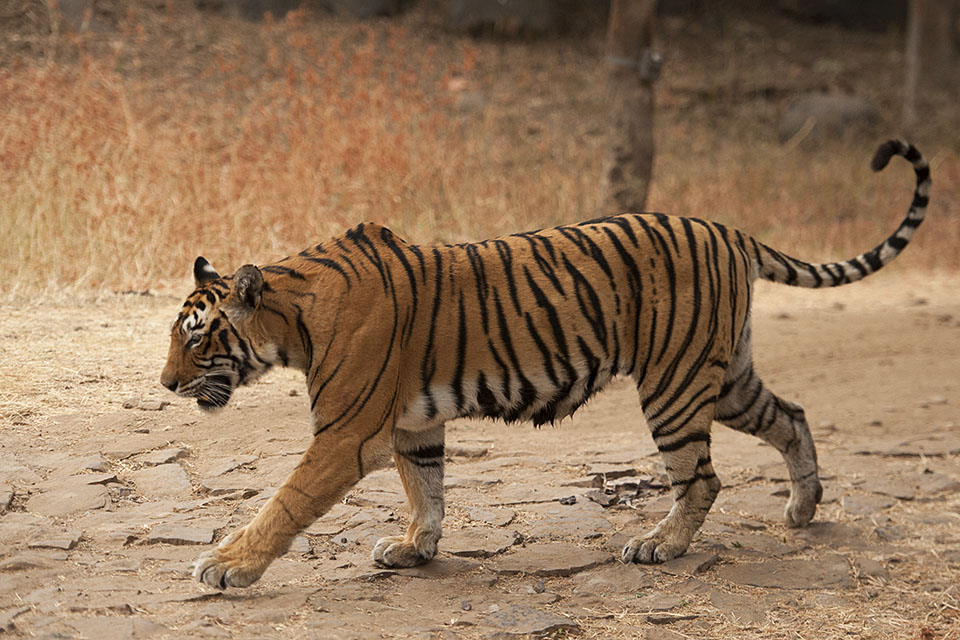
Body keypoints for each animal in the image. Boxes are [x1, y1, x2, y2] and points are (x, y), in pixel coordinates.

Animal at [163, 141, 928, 592]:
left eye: (197, 338)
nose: (166, 384)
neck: (292, 320)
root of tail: (728, 229)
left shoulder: (346, 435)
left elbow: (284, 502)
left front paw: (225, 565)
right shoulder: (414, 425)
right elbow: (426, 490)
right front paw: (416, 549)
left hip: (675, 385)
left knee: (704, 478)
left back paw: (661, 546)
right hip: (725, 375)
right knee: (791, 416)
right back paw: (803, 509)